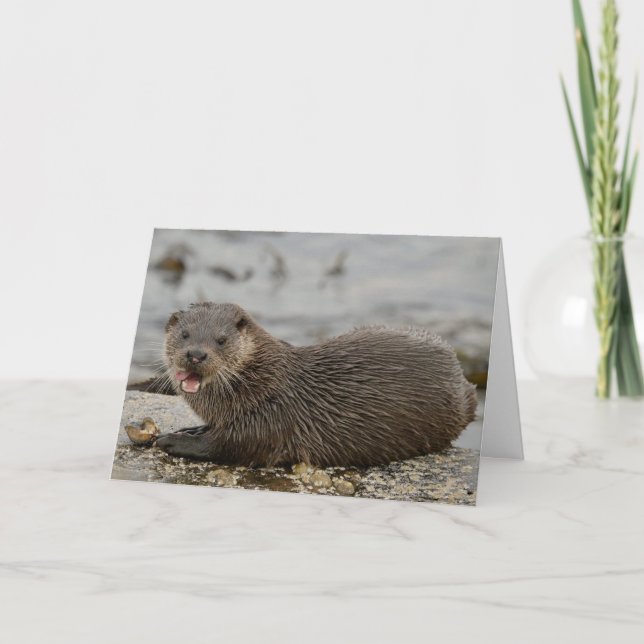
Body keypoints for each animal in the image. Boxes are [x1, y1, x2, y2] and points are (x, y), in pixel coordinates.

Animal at [155, 302, 477, 467]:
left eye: (221, 340)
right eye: (184, 335)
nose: (196, 354)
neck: (261, 383)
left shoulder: (272, 418)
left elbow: (229, 445)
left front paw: (173, 440)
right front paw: (190, 429)